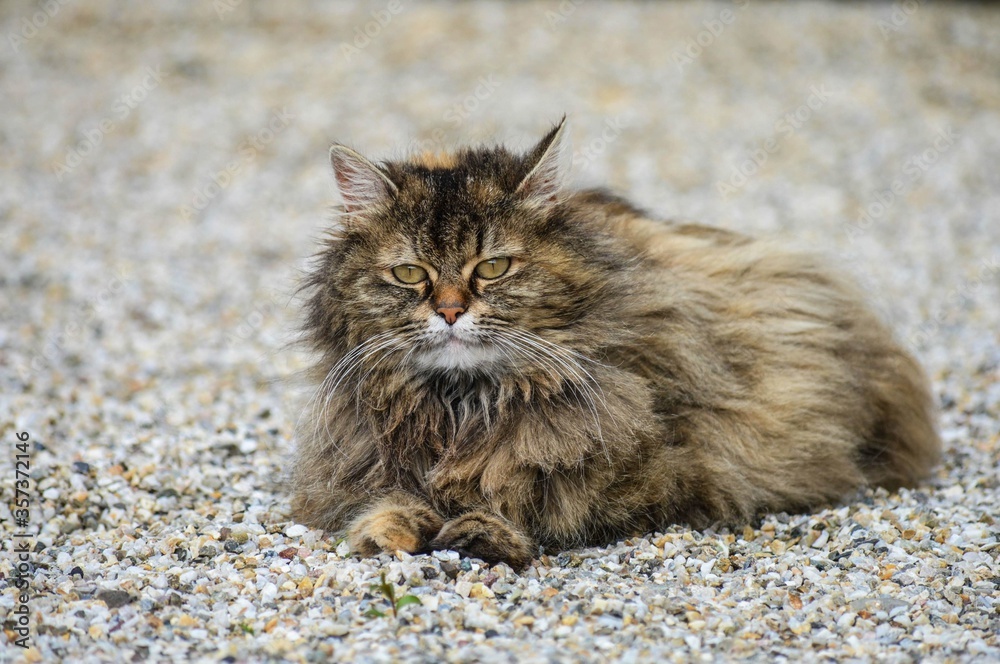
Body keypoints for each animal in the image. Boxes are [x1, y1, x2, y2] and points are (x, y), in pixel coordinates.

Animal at [288, 116, 936, 568]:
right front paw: (386, 531)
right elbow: (387, 498)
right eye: (409, 274)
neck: (465, 404)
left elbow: (526, 497)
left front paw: (480, 532)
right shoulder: (369, 457)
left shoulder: (653, 471)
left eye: (493, 267)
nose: (449, 311)